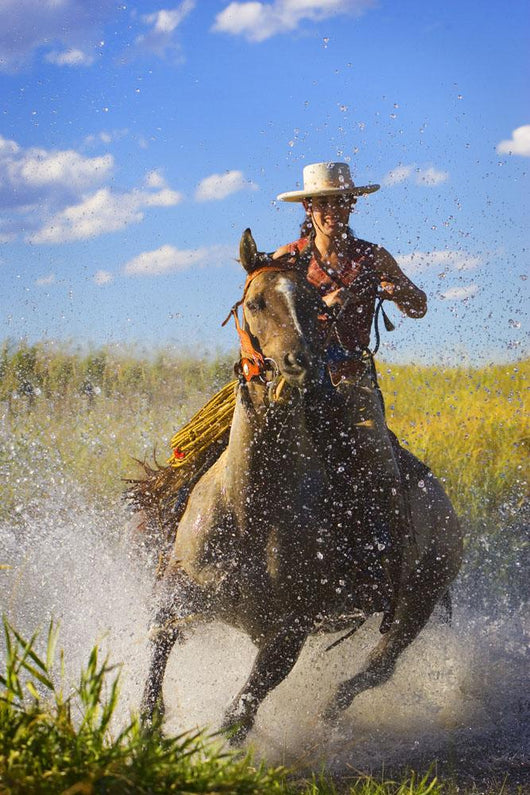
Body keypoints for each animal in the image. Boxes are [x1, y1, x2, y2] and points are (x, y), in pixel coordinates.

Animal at [139, 228, 462, 743]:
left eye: (315, 306)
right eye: (255, 303)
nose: (299, 363)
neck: (251, 507)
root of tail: (445, 507)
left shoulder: (289, 633)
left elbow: (237, 716)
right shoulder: (178, 595)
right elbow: (157, 647)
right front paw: (148, 726)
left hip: (418, 604)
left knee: (375, 671)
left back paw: (327, 721)